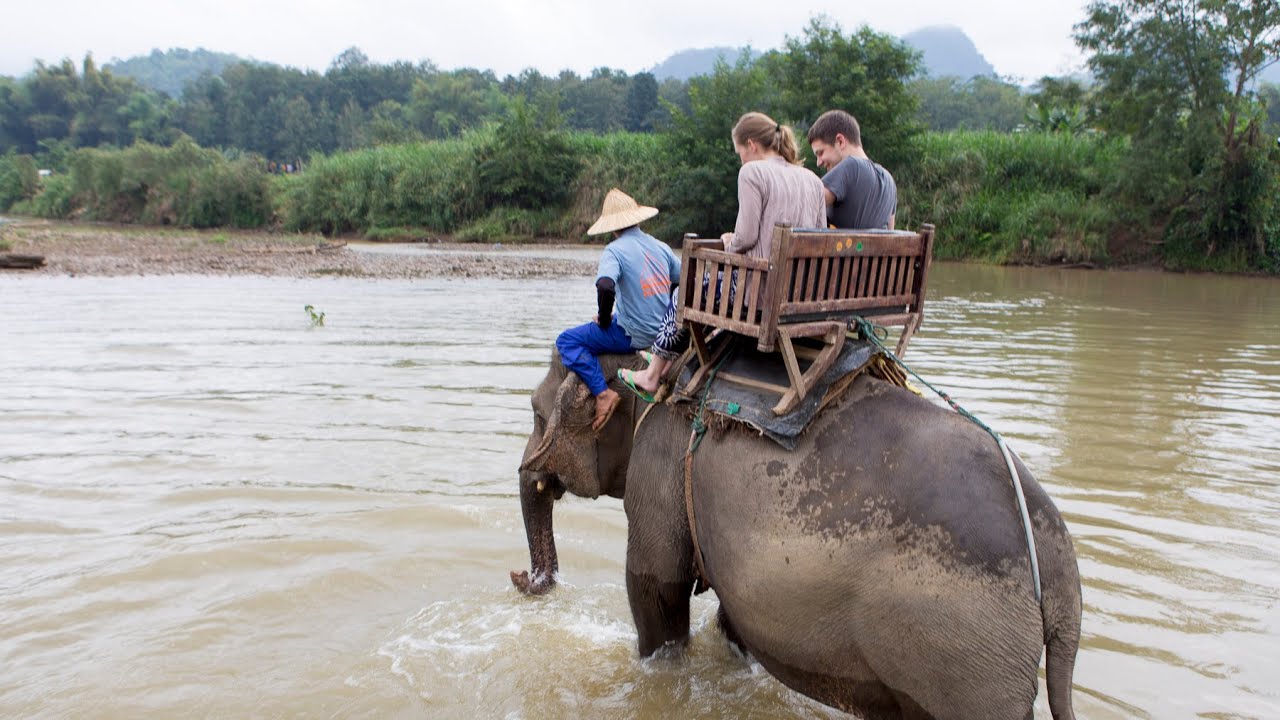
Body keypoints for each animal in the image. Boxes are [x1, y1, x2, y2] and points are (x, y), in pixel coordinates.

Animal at [511, 350, 1081, 720]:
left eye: (537, 415)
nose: (520, 576)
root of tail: (1061, 576)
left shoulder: (659, 459)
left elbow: (656, 586)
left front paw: (655, 668)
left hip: (964, 656)